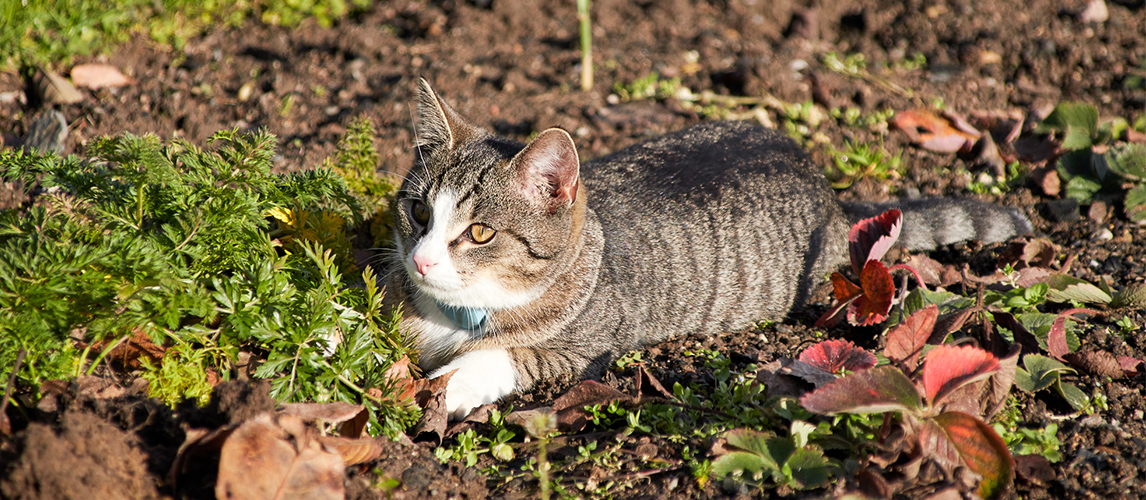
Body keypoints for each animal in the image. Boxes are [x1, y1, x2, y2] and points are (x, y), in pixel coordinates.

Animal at [382, 80, 1031, 417]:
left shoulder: (578, 352)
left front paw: (441, 387)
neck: (457, 314)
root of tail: (827, 192)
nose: (422, 259)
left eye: (480, 234)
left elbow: (497, 357)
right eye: (420, 213)